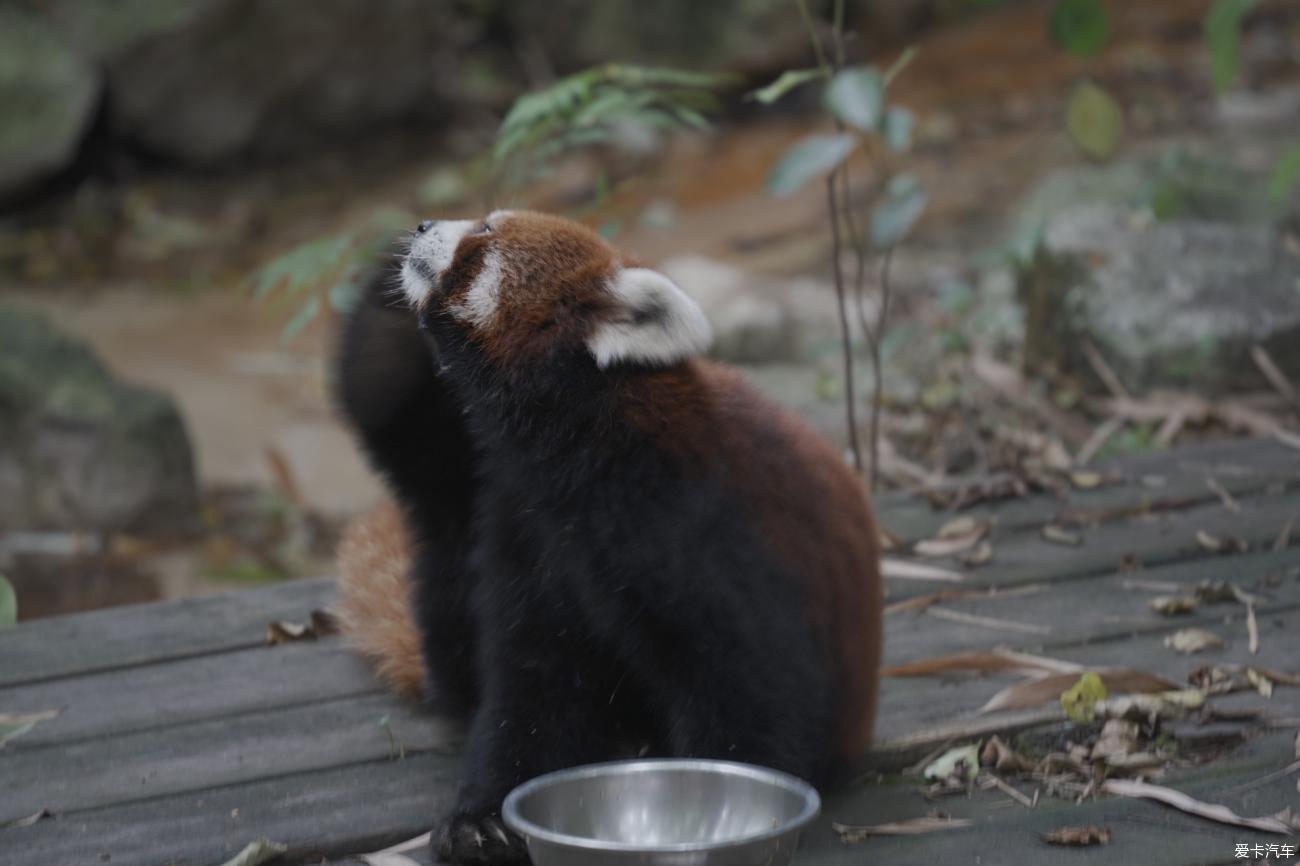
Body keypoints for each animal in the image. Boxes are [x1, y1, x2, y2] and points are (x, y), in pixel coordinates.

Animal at [335, 210, 883, 863]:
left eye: (486, 233)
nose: (421, 226)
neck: (580, 445)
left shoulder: (704, 527)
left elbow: (758, 684)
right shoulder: (530, 536)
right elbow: (533, 690)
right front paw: (482, 818)